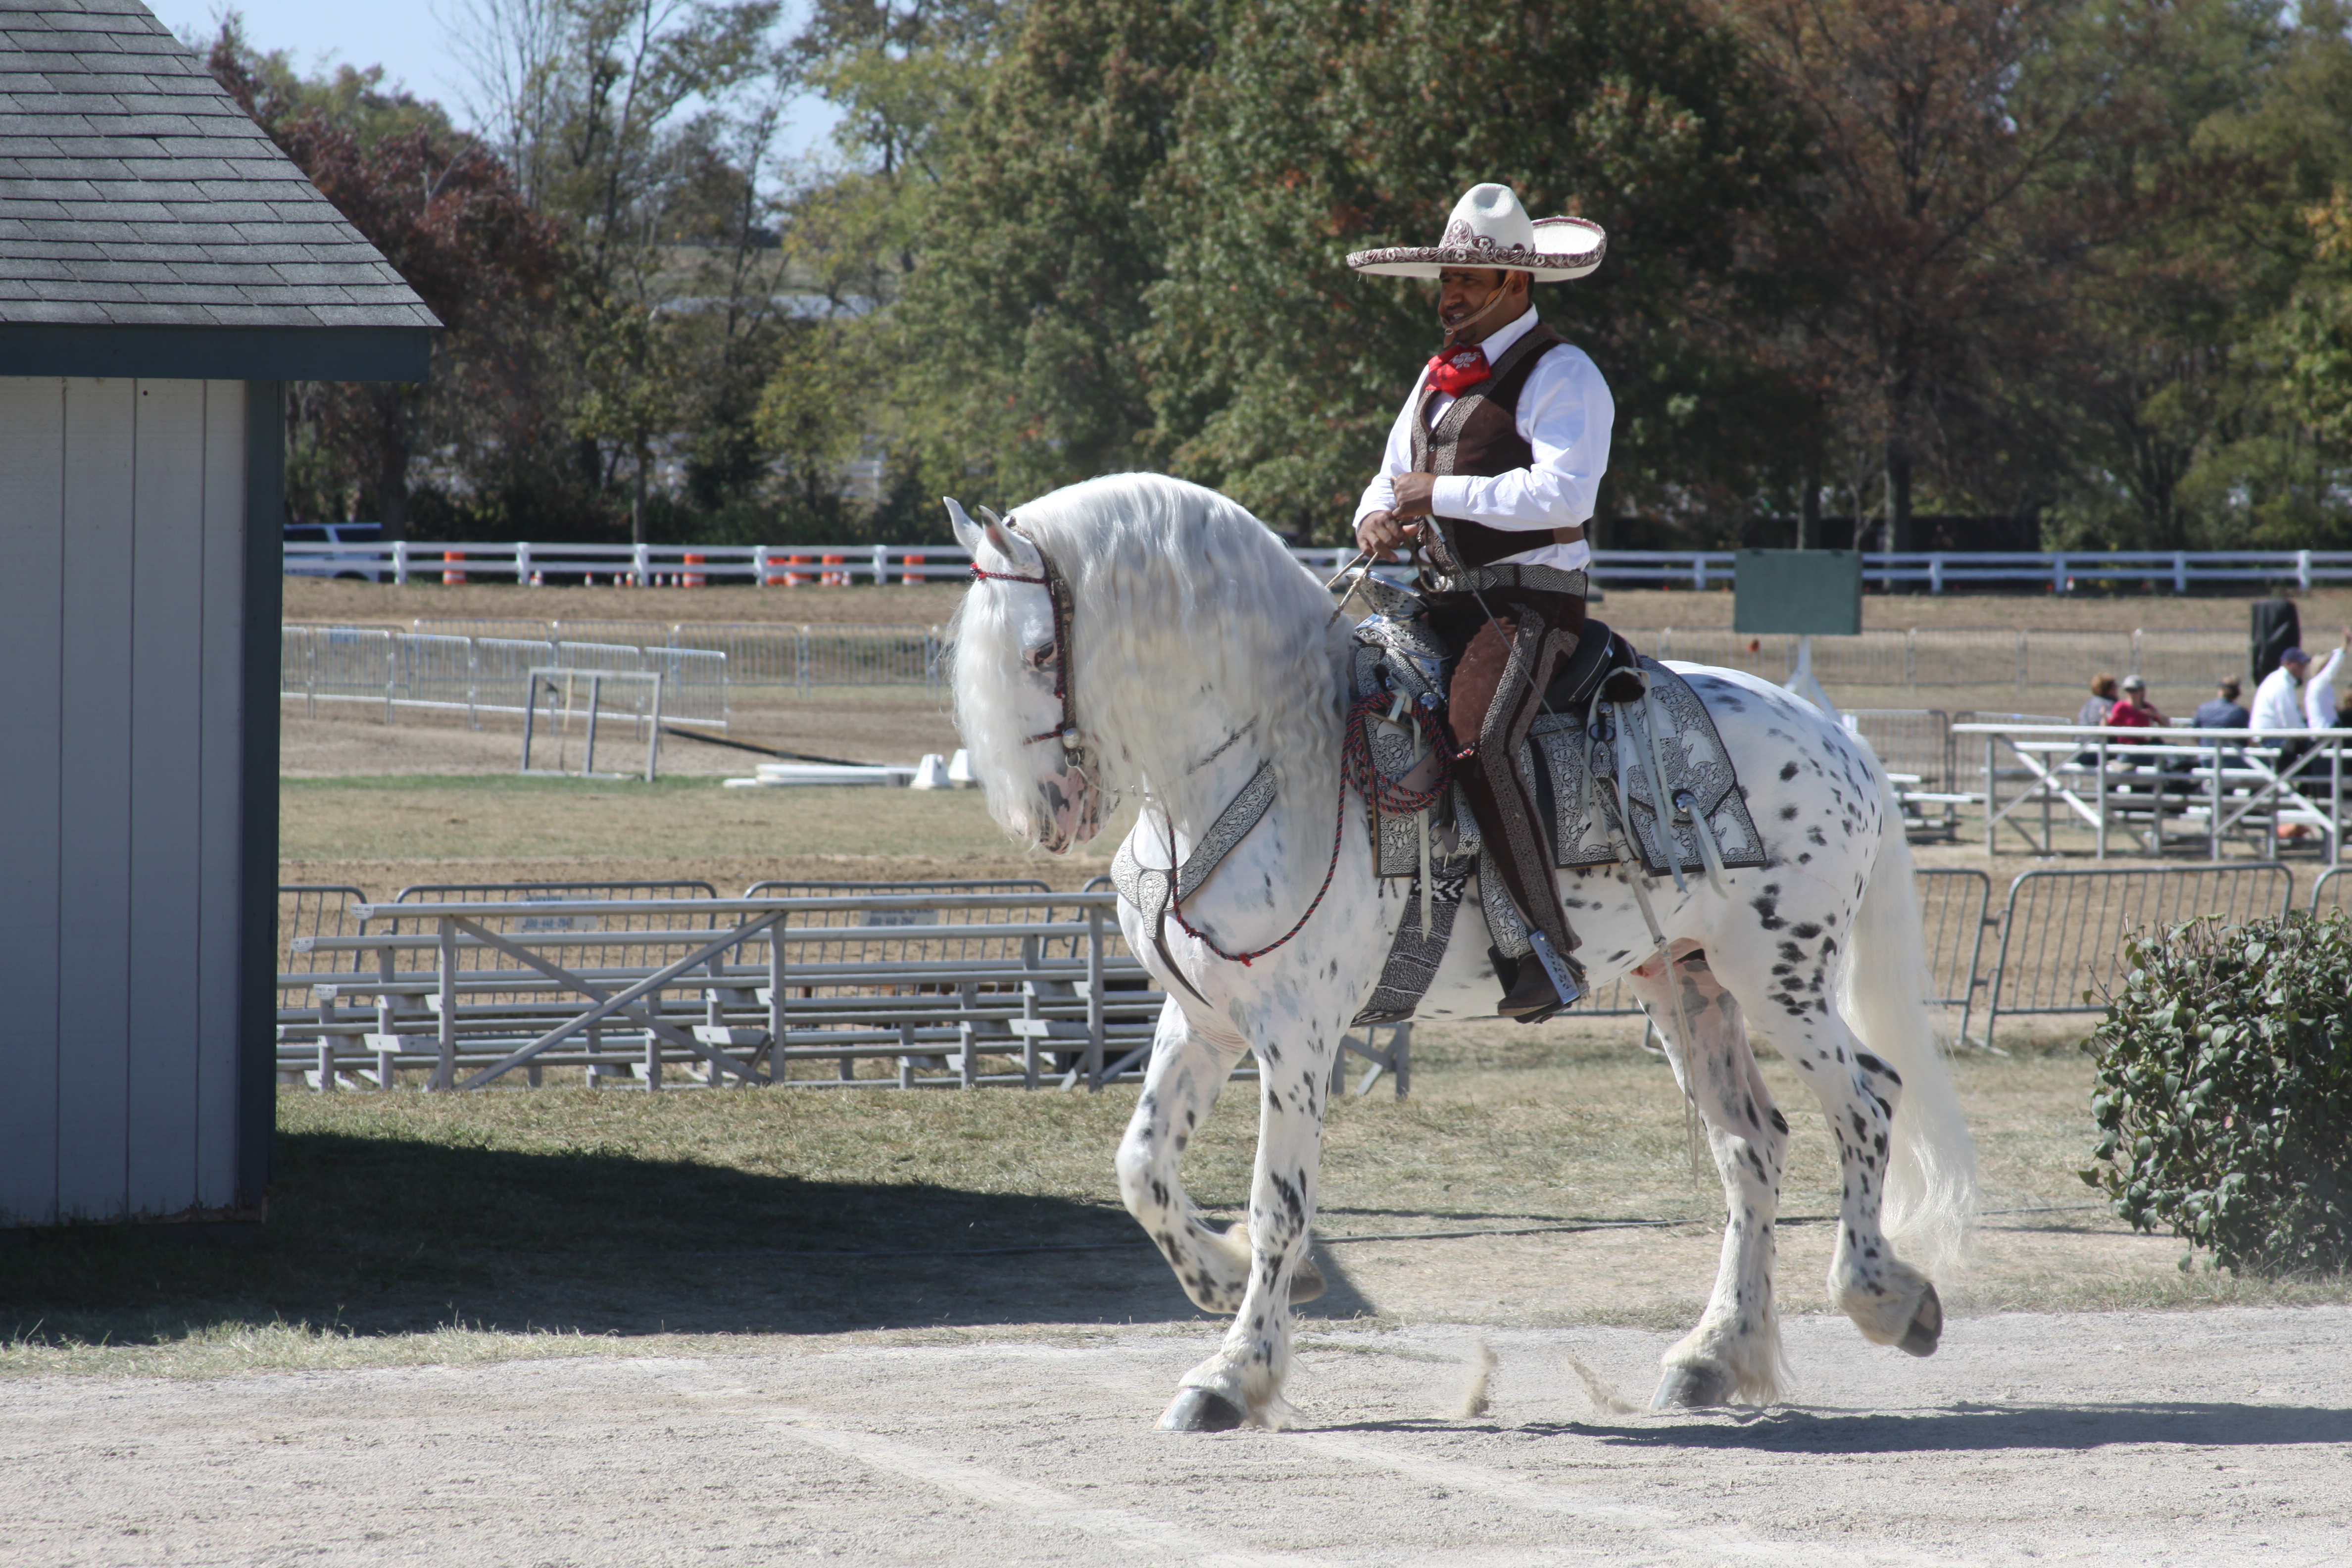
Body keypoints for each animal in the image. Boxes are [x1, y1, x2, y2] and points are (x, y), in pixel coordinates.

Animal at [945, 472, 1975, 1429]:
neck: (1273, 763)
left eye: (1040, 652)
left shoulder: (1297, 1038)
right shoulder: (1200, 1022)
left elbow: (1279, 1203)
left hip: (1780, 980)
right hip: (1685, 985)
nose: (1045, 814)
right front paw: (1220, 1277)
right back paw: (1713, 1354)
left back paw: (1885, 1298)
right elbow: (1142, 1167)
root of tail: (1837, 738)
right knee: (1751, 1145)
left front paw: (1234, 1373)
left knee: (1866, 1103)